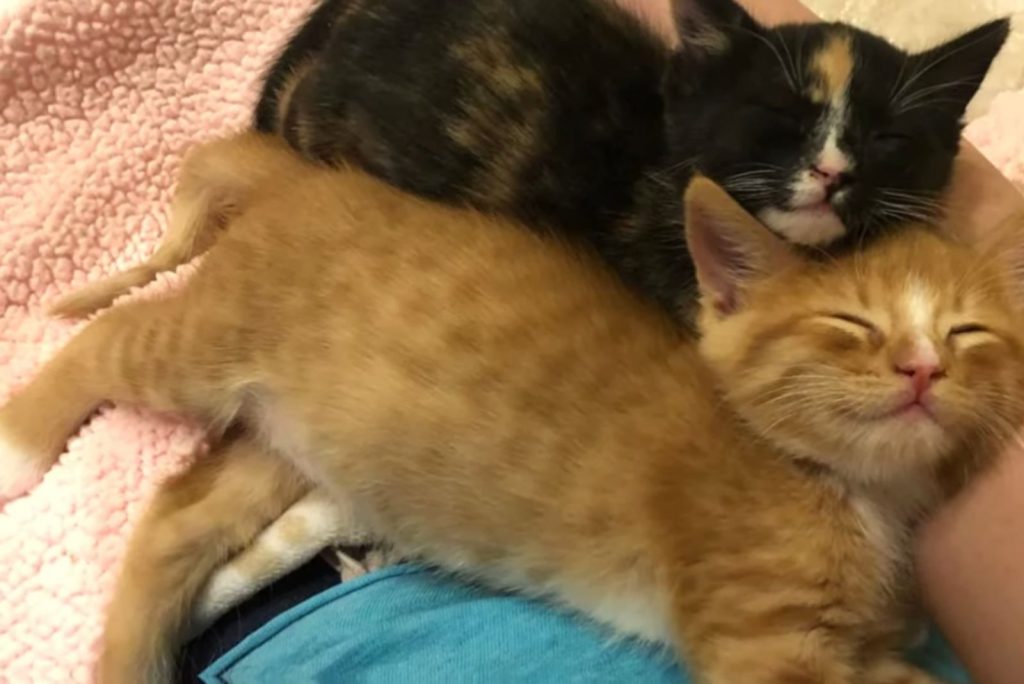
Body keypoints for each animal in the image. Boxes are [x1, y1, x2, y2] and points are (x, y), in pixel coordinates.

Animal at [2, 133, 1024, 684]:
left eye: (969, 332)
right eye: (851, 324)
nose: (924, 369)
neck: (855, 491)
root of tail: (310, 177)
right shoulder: (764, 649)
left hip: (296, 438)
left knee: (177, 520)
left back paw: (132, 656)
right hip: (209, 343)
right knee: (105, 340)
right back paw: (20, 445)